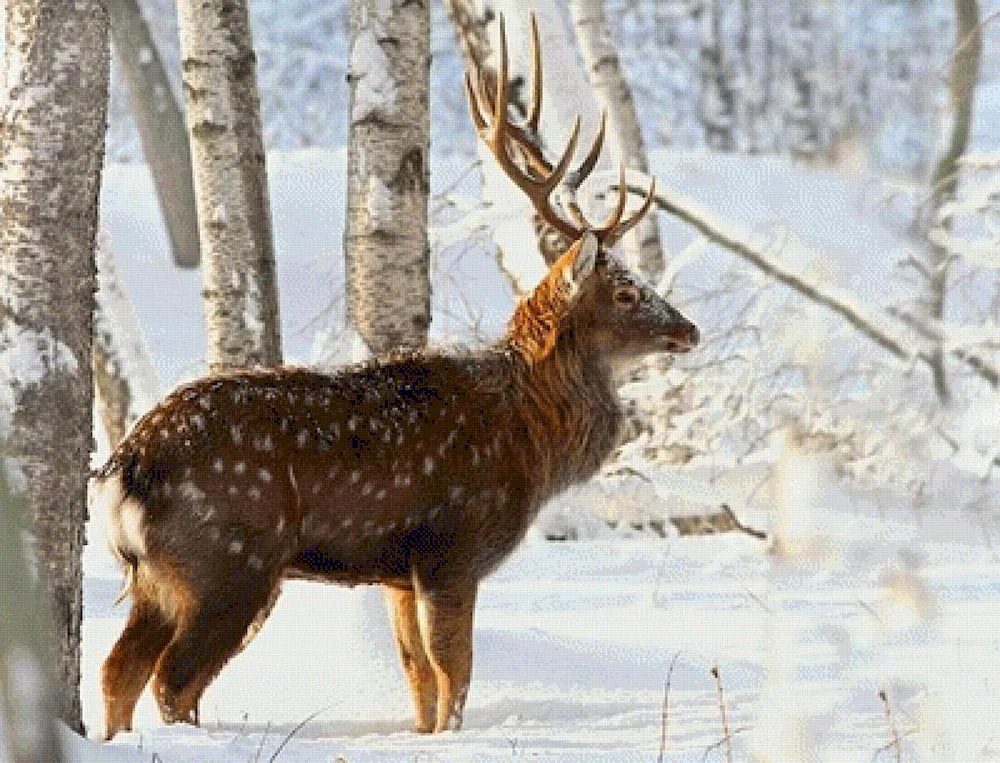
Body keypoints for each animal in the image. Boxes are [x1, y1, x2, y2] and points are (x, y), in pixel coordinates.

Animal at [97, 16, 700, 740]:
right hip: (229, 558)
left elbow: (418, 677)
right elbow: (453, 672)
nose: (690, 329)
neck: (530, 435)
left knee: (118, 669)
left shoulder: (396, 573)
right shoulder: (453, 546)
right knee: (172, 679)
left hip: (157, 576)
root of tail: (127, 465)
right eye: (627, 292)